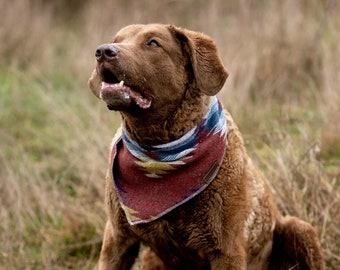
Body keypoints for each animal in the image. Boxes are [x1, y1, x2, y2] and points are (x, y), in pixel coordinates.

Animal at [88, 24, 324, 268]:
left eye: (153, 43)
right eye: (117, 40)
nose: (103, 51)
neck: (156, 150)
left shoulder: (226, 249)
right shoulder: (117, 238)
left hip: (301, 229)